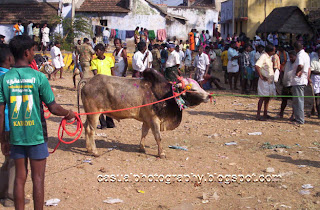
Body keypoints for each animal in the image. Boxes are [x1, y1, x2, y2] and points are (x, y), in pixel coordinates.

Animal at [79, 68, 210, 158]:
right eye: (192, 88)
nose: (209, 96)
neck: (165, 95)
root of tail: (88, 80)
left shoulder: (147, 120)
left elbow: (144, 133)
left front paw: (142, 148)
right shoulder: (154, 119)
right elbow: (158, 137)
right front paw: (161, 153)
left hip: (89, 114)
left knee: (85, 126)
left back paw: (88, 149)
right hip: (94, 114)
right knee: (91, 130)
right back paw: (95, 152)